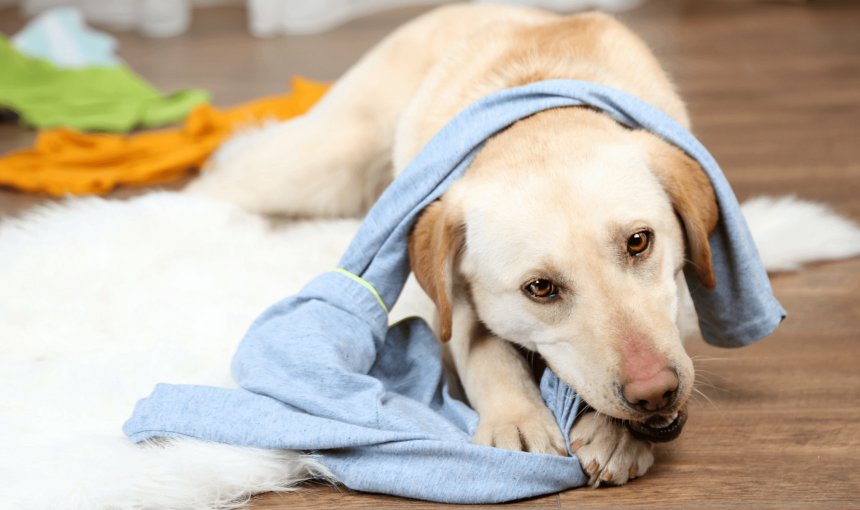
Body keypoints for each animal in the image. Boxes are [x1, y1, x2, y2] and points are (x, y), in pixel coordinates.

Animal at [188, 4, 720, 490]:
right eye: (540, 288)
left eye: (639, 242)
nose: (655, 393)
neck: (534, 118)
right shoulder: (458, 304)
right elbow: (486, 355)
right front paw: (517, 421)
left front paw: (614, 434)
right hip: (325, 163)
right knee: (218, 179)